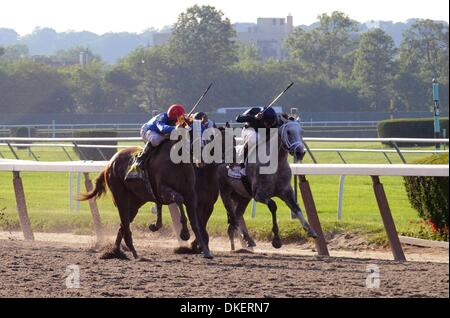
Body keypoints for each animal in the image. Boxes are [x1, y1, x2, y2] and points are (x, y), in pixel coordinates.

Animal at [78, 140, 214, 260]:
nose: (205, 159)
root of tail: (109, 163)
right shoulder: (163, 190)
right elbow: (179, 199)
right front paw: (184, 233)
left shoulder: (191, 194)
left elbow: (195, 223)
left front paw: (206, 251)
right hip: (120, 197)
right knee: (125, 225)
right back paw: (133, 253)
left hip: (134, 203)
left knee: (123, 224)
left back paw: (116, 252)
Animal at [217, 114, 316, 251]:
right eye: (289, 132)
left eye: (301, 132)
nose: (300, 152)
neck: (275, 164)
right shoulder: (259, 195)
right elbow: (273, 205)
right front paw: (276, 240)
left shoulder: (286, 192)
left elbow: (296, 207)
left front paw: (310, 230)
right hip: (225, 193)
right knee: (232, 217)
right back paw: (235, 245)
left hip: (243, 196)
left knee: (237, 215)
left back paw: (247, 241)